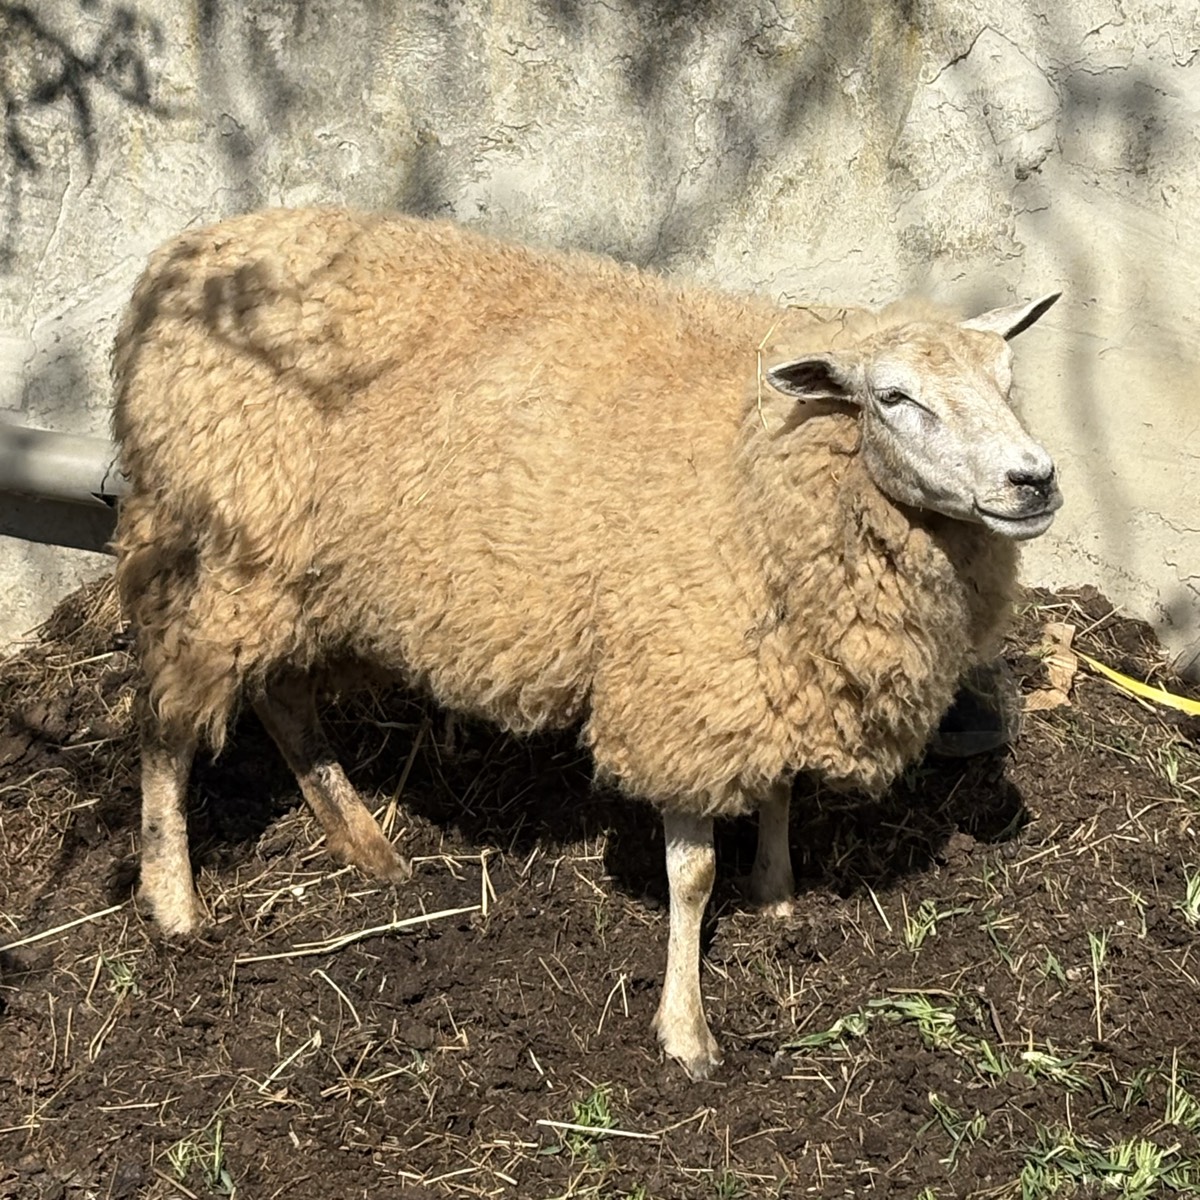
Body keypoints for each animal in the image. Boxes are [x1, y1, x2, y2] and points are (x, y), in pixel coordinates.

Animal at [111, 207, 1062, 1079]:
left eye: (1009, 378)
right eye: (894, 398)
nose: (1035, 480)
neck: (760, 454)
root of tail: (186, 251)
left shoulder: (762, 660)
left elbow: (780, 791)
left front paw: (778, 894)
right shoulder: (679, 675)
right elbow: (691, 875)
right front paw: (686, 1031)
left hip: (295, 570)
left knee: (281, 696)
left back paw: (365, 845)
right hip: (215, 544)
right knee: (166, 718)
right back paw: (176, 903)